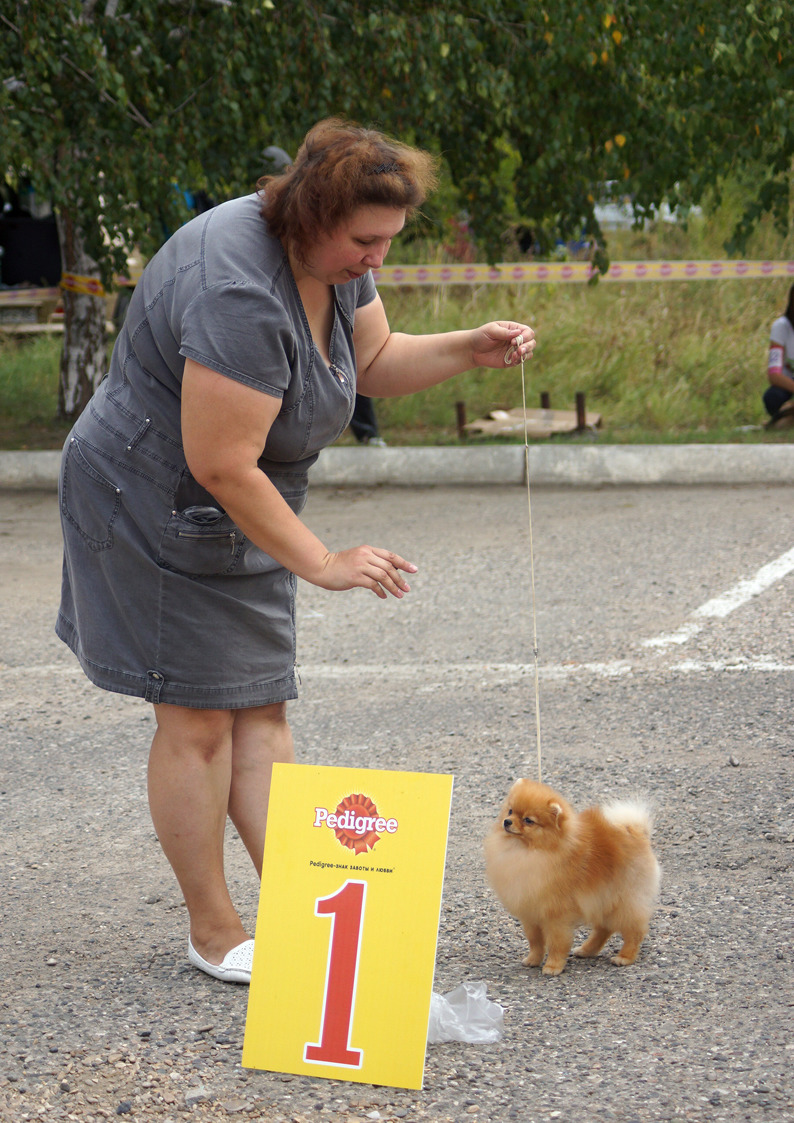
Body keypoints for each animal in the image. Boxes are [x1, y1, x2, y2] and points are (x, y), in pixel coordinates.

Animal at [480, 781, 660, 974]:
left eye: (528, 820)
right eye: (510, 811)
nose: (507, 822)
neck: (527, 850)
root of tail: (635, 830)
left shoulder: (556, 915)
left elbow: (556, 943)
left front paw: (553, 966)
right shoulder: (531, 913)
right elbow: (535, 942)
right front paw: (533, 960)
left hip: (624, 900)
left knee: (634, 930)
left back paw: (625, 957)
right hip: (603, 898)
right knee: (604, 929)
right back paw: (587, 950)